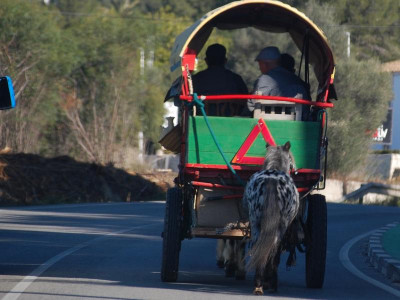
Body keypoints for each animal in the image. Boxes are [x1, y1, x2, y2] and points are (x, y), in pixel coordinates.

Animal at [241, 142, 300, 294]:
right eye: (291, 159)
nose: (295, 169)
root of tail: (271, 180)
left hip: (255, 222)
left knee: (258, 246)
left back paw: (258, 283)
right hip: (281, 226)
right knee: (274, 250)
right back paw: (270, 283)